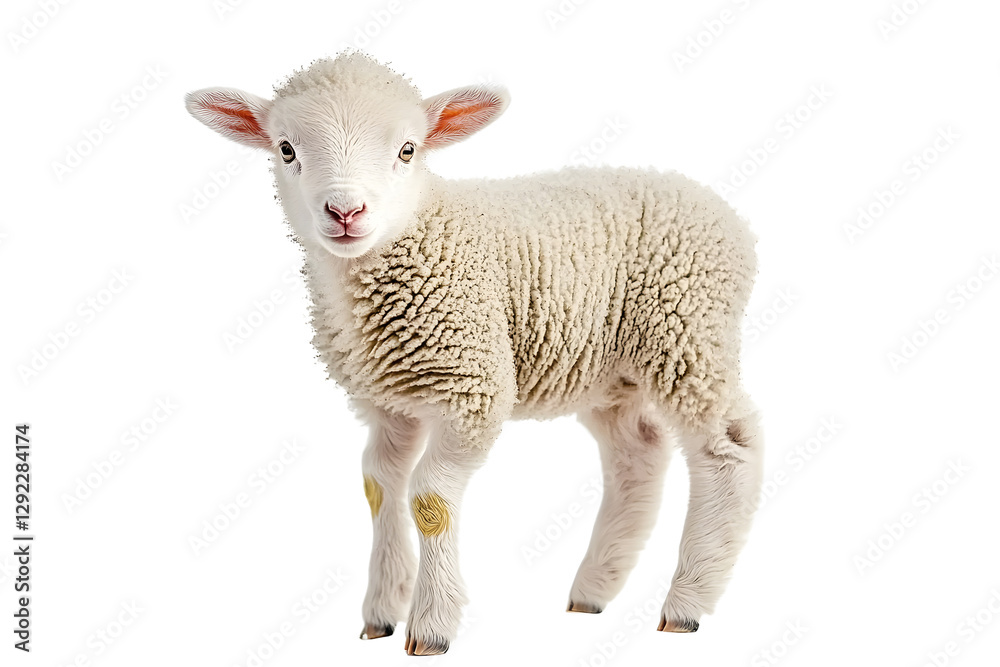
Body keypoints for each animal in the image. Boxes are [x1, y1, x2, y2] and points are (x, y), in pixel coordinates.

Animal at [185, 51, 763, 656]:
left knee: (730, 448)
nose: (346, 212)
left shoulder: (474, 388)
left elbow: (430, 499)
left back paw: (687, 601)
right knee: (639, 454)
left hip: (689, 330)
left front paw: (431, 625)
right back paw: (594, 590)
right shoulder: (388, 401)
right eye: (286, 149)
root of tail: (728, 217)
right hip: (611, 369)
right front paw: (380, 613)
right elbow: (378, 486)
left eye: (408, 150)